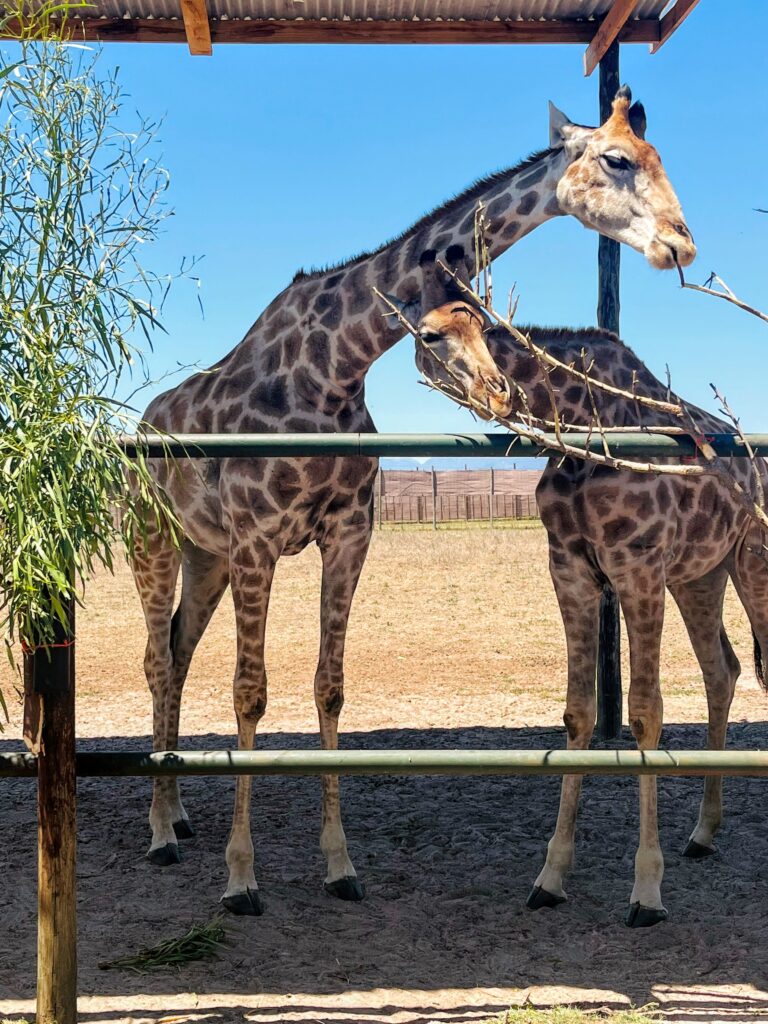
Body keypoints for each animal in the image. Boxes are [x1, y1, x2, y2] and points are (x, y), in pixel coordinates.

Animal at [131, 85, 695, 916]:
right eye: (618, 159)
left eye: (662, 156)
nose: (681, 243)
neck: (334, 363)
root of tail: (142, 423)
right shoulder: (257, 539)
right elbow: (250, 694)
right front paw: (241, 880)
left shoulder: (346, 533)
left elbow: (329, 688)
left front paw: (339, 866)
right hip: (156, 537)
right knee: (155, 658)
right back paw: (160, 833)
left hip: (205, 556)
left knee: (175, 649)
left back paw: (177, 814)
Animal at [401, 252, 768, 927]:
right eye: (431, 335)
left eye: (484, 326)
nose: (498, 390)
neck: (582, 426)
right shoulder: (569, 570)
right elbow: (578, 713)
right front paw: (551, 875)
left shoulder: (638, 568)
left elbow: (645, 715)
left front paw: (646, 891)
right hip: (702, 574)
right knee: (722, 671)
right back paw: (703, 833)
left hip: (752, 559)